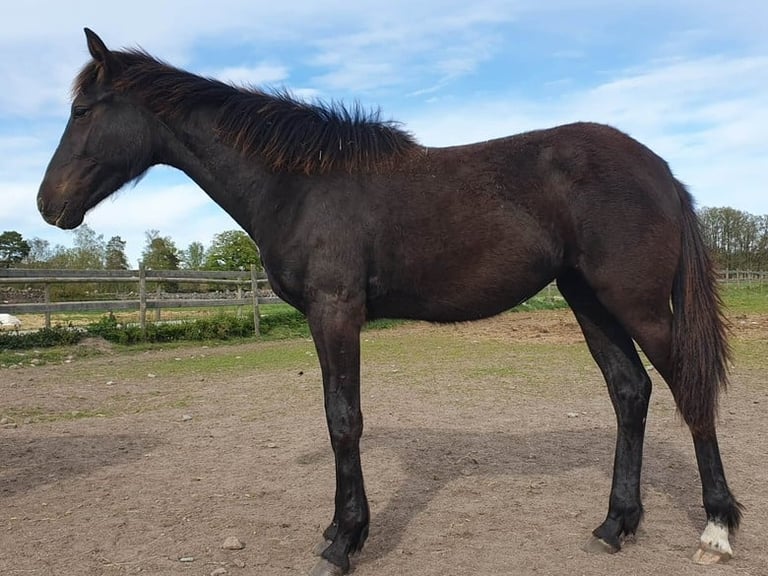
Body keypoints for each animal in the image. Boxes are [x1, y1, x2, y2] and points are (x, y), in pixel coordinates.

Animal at [37, 29, 742, 576]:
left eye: (82, 111)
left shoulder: (336, 311)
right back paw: (616, 524)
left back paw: (717, 527)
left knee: (687, 387)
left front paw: (344, 541)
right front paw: (336, 529)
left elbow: (343, 420)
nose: (49, 204)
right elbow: (335, 416)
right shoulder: (323, 318)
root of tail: (660, 170)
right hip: (589, 300)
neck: (299, 184)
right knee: (630, 391)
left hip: (636, 304)